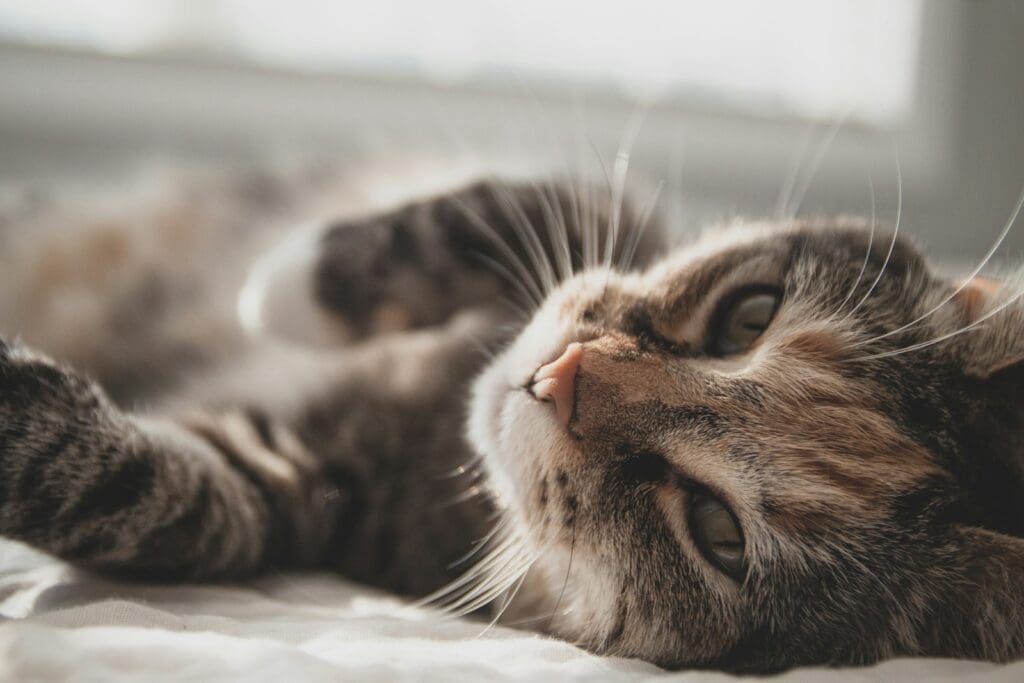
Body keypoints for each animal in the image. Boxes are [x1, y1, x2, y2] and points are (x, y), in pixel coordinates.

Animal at [0, 166, 1019, 671]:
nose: (558, 376)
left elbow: (133, 490)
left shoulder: (290, 486)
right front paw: (284, 282)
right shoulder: (614, 214)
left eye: (720, 534)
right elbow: (492, 208)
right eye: (750, 316)